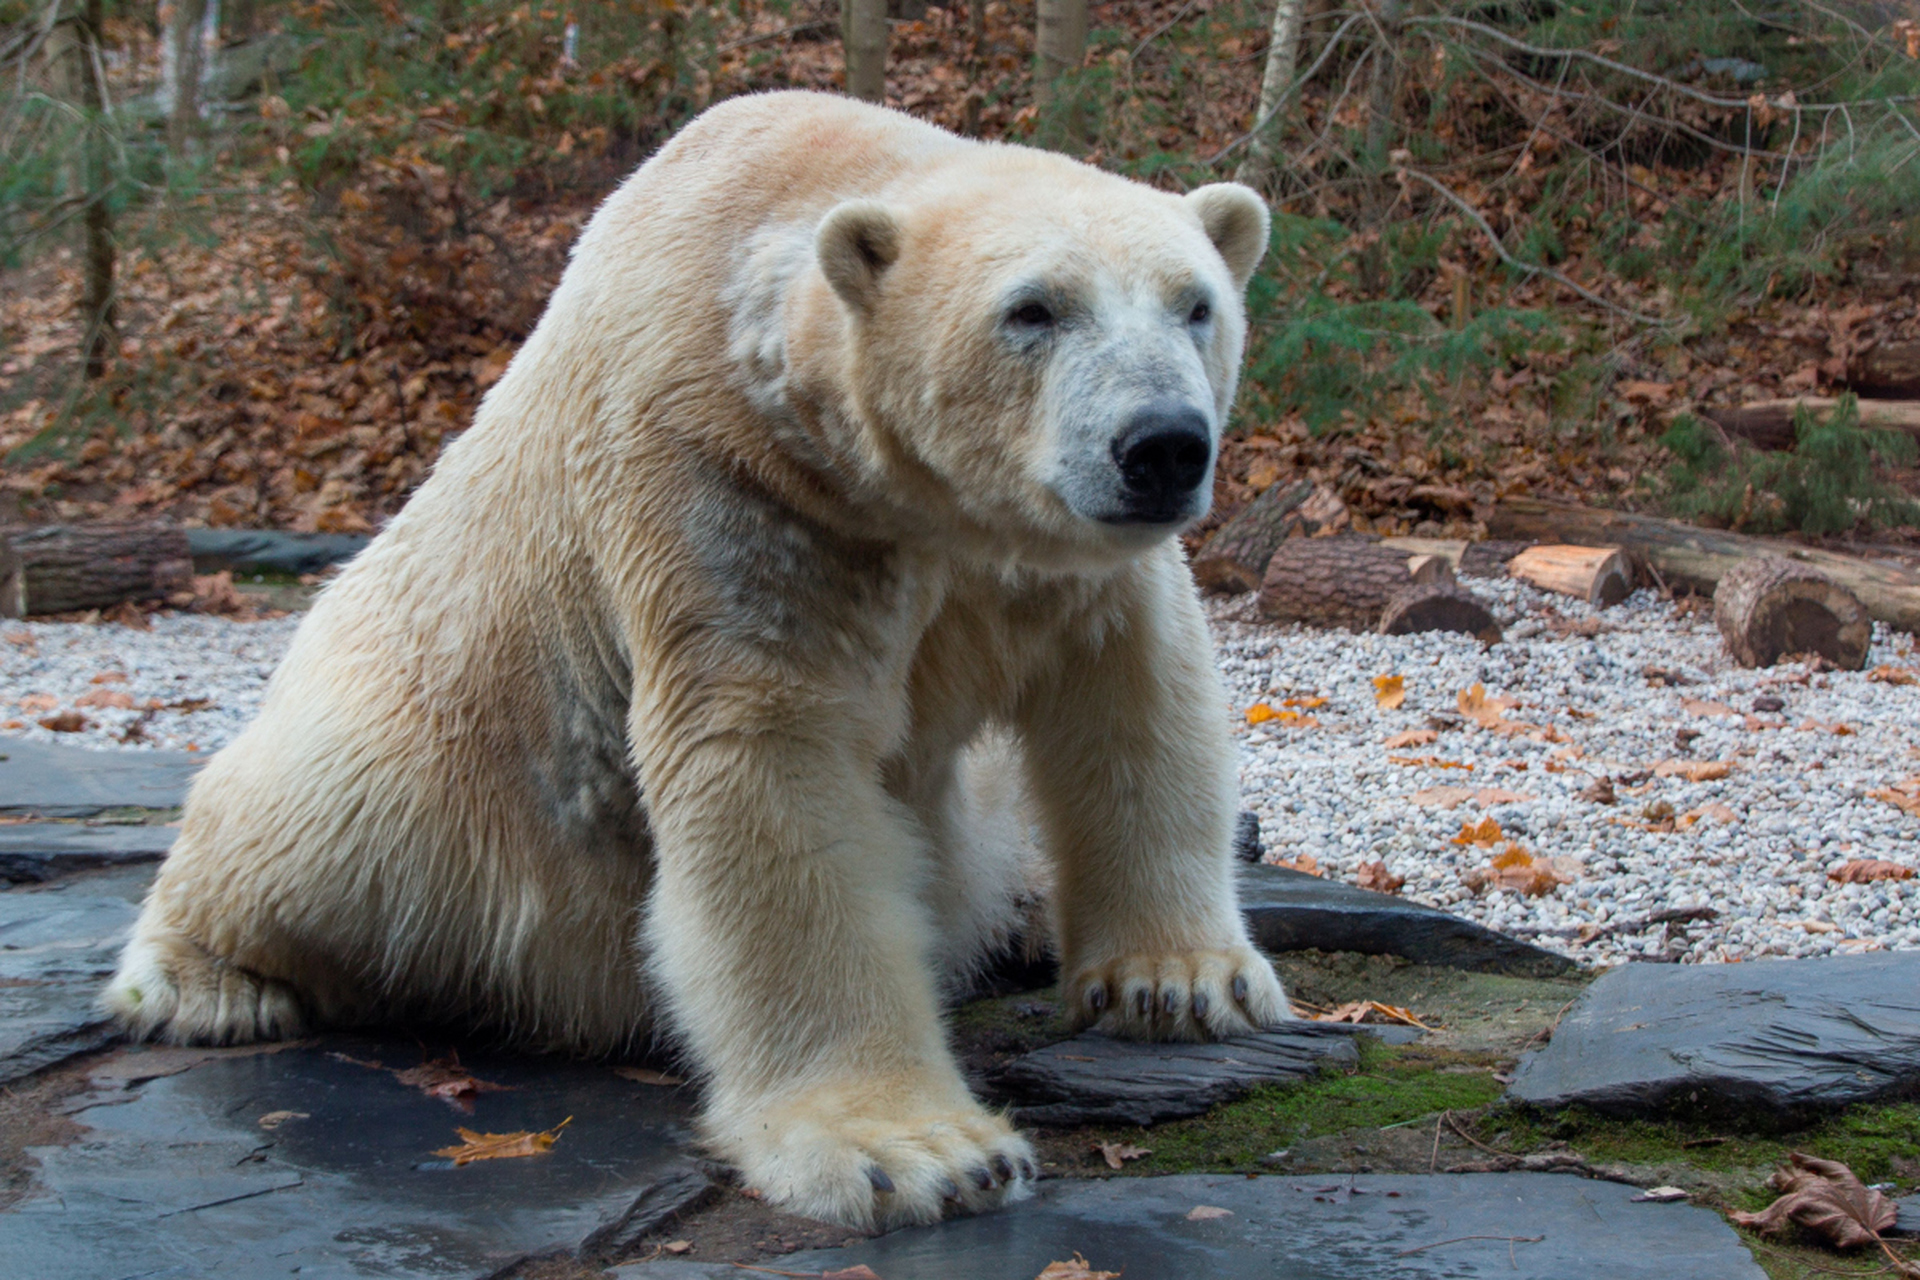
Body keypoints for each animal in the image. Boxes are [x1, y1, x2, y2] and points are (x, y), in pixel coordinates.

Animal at [112, 90, 1297, 1228]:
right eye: (1033, 309)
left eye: (1196, 302)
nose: (1162, 445)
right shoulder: (729, 480)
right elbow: (767, 764)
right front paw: (916, 1151)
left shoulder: (1039, 560)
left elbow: (1134, 691)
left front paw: (1181, 982)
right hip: (430, 753)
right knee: (315, 816)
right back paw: (203, 981)